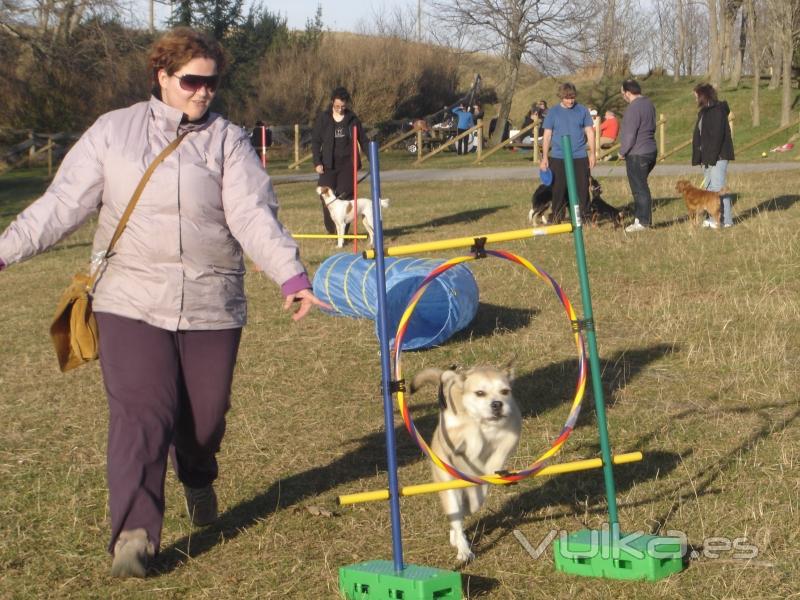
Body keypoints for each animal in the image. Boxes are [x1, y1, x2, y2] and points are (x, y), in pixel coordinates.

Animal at [410, 366, 520, 564]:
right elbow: (470, 430)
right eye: (480, 393)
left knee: (466, 510)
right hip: (449, 490)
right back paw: (463, 550)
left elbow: (500, 451)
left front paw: (493, 468)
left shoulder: (512, 431)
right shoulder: (454, 432)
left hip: (476, 495)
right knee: (456, 518)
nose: (497, 404)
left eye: (505, 391)